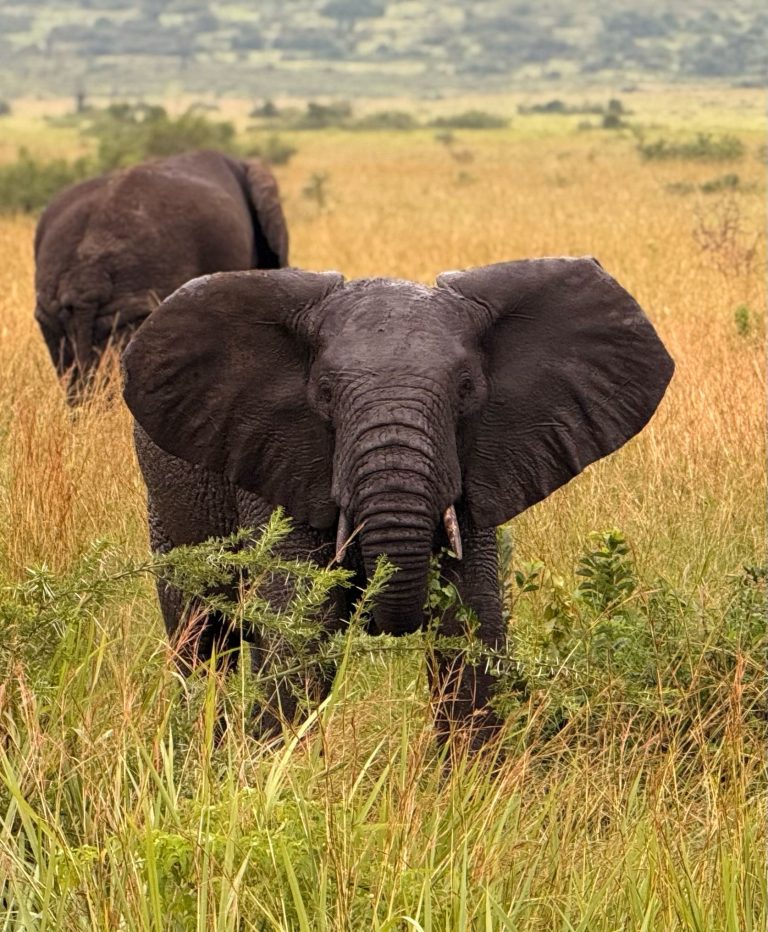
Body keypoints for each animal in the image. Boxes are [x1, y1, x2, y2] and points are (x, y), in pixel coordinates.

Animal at [122, 258, 674, 750]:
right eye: (325, 393)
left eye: (466, 388)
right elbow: (301, 631)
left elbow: (472, 623)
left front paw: (469, 787)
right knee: (201, 635)